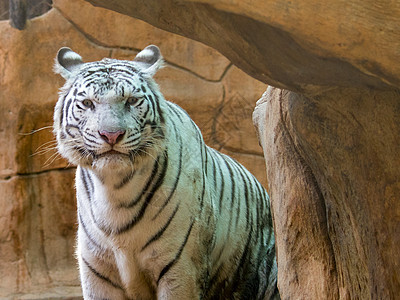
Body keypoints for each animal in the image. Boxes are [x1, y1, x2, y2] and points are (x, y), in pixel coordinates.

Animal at [53, 45, 278, 300]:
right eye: (88, 103)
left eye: (131, 101)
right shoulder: (97, 271)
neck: (114, 188)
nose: (111, 135)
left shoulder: (180, 266)